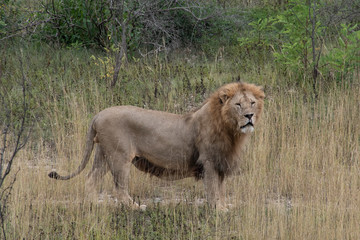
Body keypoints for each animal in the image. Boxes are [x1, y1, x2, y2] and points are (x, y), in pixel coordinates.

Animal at [49, 81, 264, 209]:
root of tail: (99, 114)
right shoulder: (209, 162)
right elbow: (213, 190)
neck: (230, 130)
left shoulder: (221, 163)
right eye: (238, 104)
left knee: (90, 179)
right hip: (120, 157)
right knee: (119, 188)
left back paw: (95, 205)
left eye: (252, 103)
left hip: (103, 154)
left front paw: (224, 207)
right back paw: (136, 208)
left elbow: (220, 189)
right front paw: (218, 210)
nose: (249, 116)